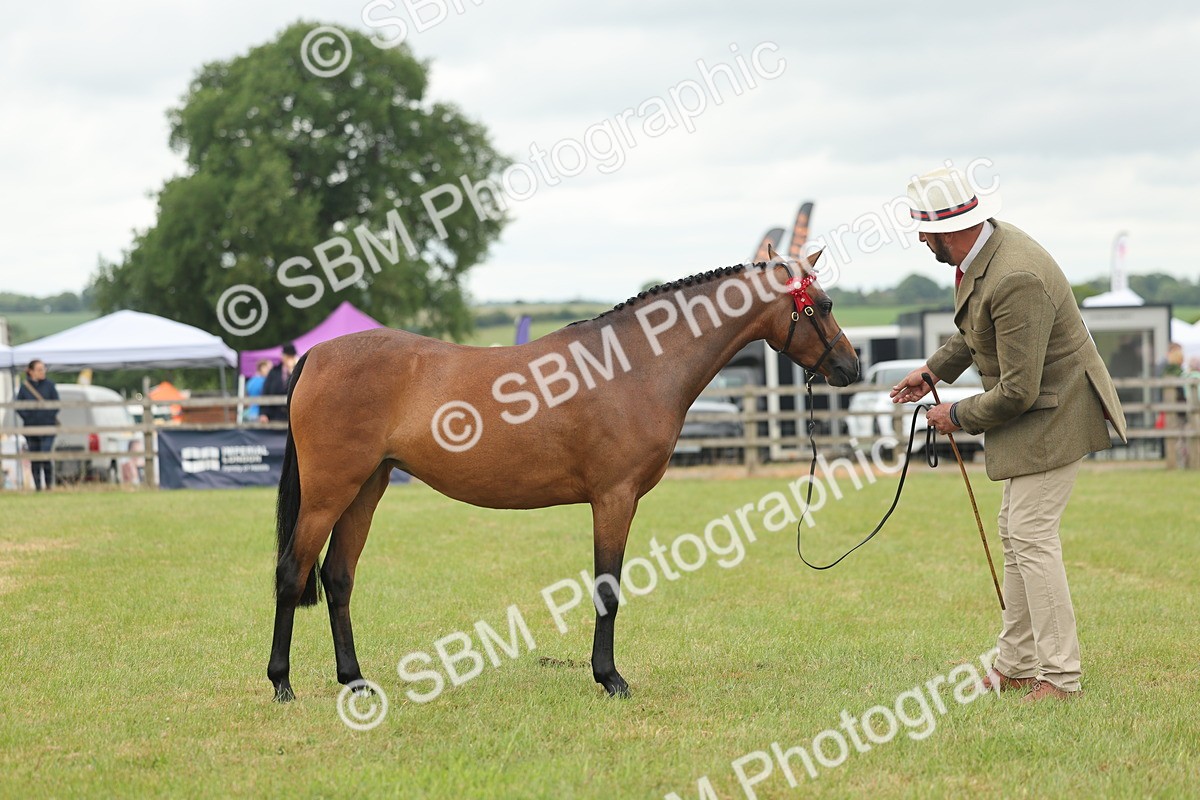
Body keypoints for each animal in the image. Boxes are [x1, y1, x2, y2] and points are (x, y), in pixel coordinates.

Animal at [267, 251, 859, 702]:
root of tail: (317, 354)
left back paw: (355, 681)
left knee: (338, 578)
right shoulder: (615, 498)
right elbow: (607, 588)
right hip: (328, 493)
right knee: (293, 573)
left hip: (366, 488)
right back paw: (282, 685)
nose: (850, 367)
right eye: (824, 305)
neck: (635, 366)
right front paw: (610, 679)